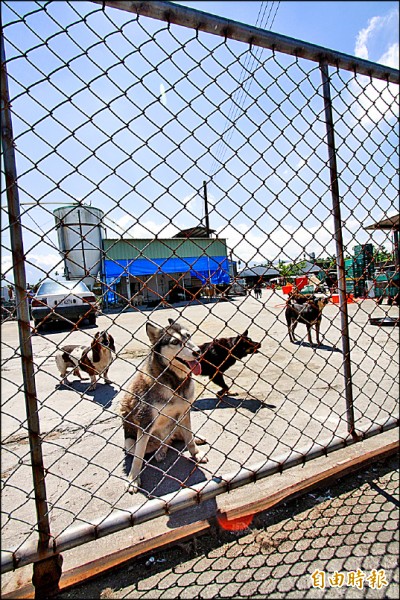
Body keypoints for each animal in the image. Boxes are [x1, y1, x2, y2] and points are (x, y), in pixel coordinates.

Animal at [117, 316, 208, 494]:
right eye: (175, 342)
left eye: (188, 336)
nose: (197, 351)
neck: (175, 382)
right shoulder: (145, 423)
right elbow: (138, 458)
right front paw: (133, 479)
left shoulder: (185, 411)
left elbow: (189, 438)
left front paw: (196, 453)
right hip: (130, 442)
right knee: (158, 444)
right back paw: (160, 451)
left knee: (177, 437)